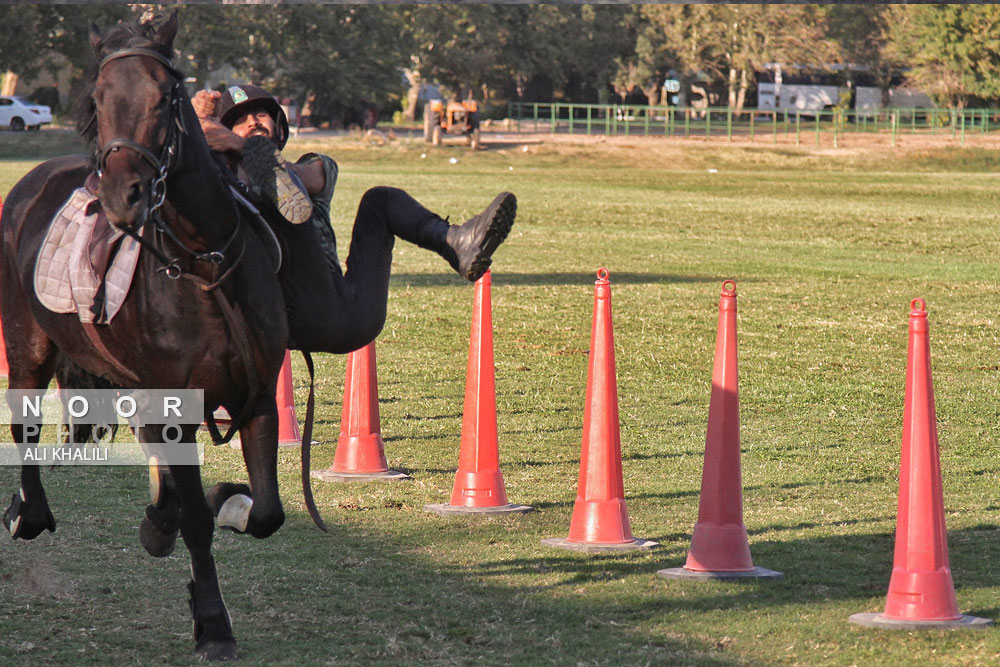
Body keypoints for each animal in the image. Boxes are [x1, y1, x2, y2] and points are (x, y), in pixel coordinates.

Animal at [1, 13, 302, 660]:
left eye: (166, 96)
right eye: (97, 98)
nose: (123, 195)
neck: (205, 265)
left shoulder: (259, 396)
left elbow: (265, 512)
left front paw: (221, 503)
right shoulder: (178, 406)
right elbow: (194, 522)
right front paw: (213, 623)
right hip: (27, 345)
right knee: (26, 420)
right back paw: (28, 510)